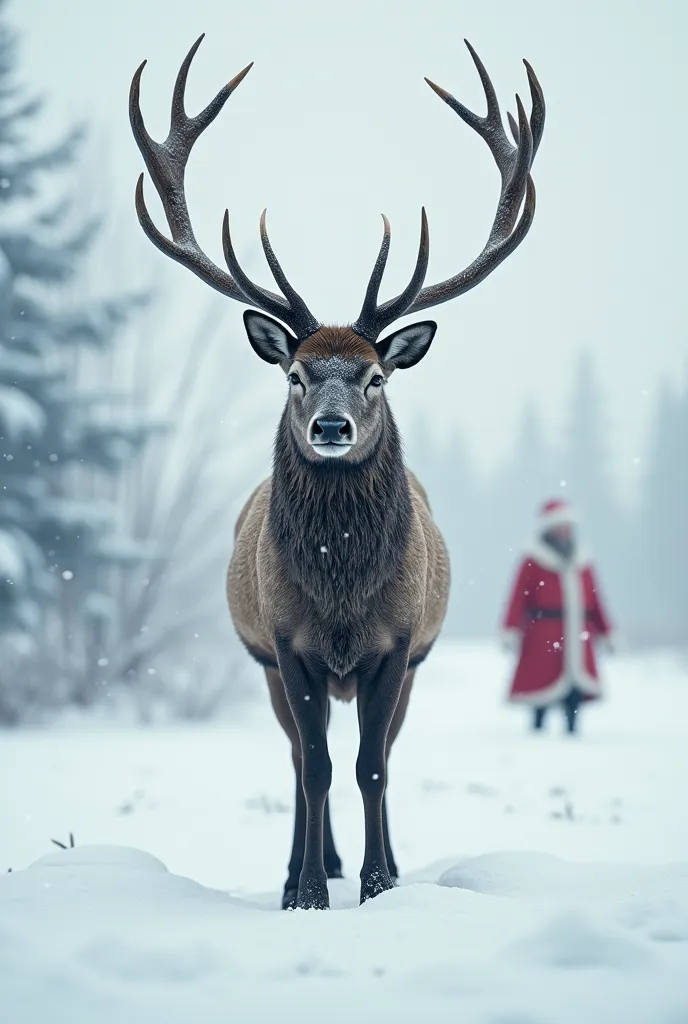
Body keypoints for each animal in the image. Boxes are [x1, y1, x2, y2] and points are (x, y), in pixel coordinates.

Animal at [130, 36, 544, 909]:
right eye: (295, 372)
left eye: (375, 376)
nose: (330, 425)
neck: (344, 595)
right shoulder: (288, 644)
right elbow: (317, 766)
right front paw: (308, 893)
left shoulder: (400, 642)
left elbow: (372, 765)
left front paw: (382, 882)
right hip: (266, 665)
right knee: (296, 759)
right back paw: (307, 864)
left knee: (371, 755)